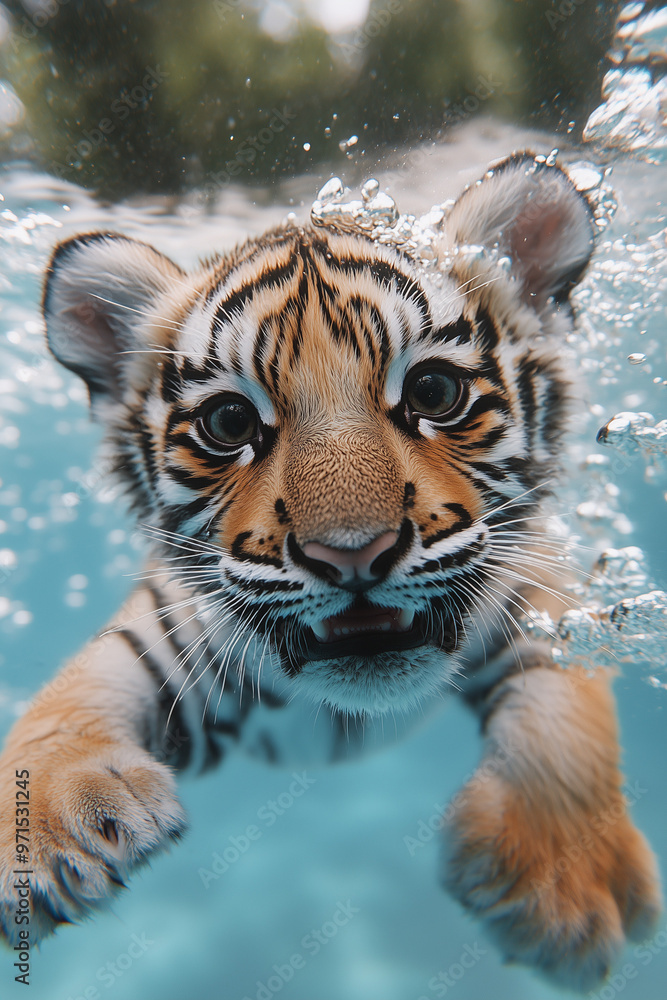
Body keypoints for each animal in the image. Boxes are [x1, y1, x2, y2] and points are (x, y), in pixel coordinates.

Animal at [0, 153, 660, 992]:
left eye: (433, 392)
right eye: (228, 423)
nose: (351, 553)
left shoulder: (538, 601)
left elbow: (566, 717)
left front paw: (564, 891)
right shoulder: (171, 626)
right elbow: (70, 698)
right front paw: (46, 831)